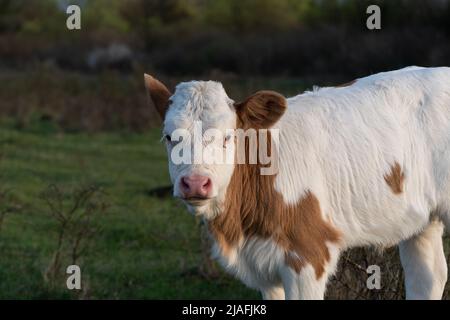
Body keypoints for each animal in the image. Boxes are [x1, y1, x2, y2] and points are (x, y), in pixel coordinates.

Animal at [144, 65, 450, 300]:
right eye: (169, 137)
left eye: (227, 137)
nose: (196, 183)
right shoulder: (264, 267)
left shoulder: (308, 254)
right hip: (422, 221)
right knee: (428, 276)